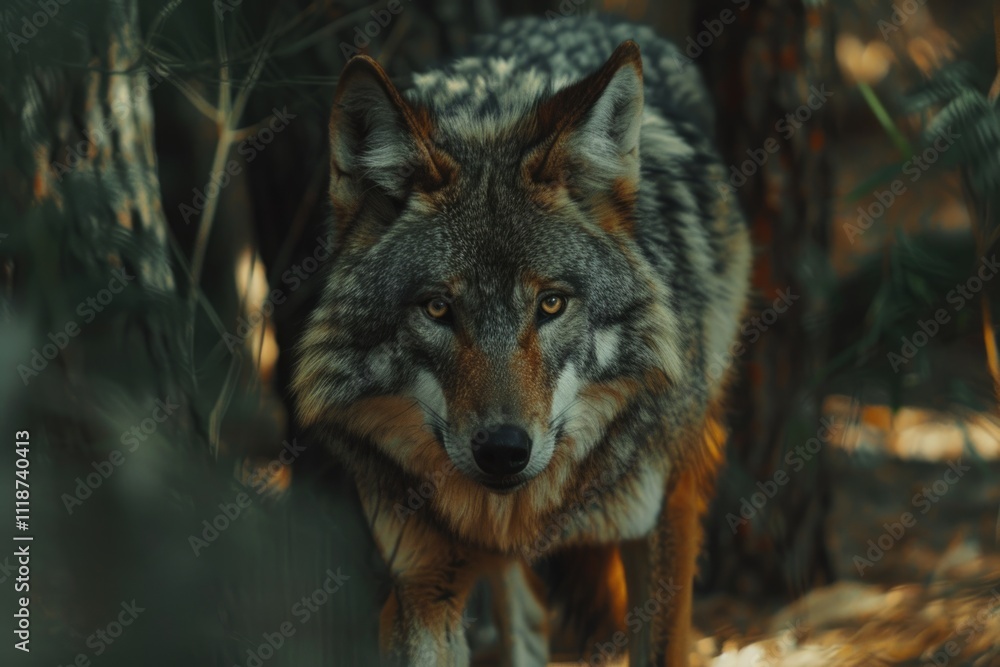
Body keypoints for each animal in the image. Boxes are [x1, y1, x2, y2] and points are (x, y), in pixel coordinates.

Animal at [293, 14, 751, 667]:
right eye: (438, 308)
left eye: (551, 304)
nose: (503, 450)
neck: (520, 513)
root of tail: (580, 17)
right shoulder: (420, 583)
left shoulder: (665, 519)